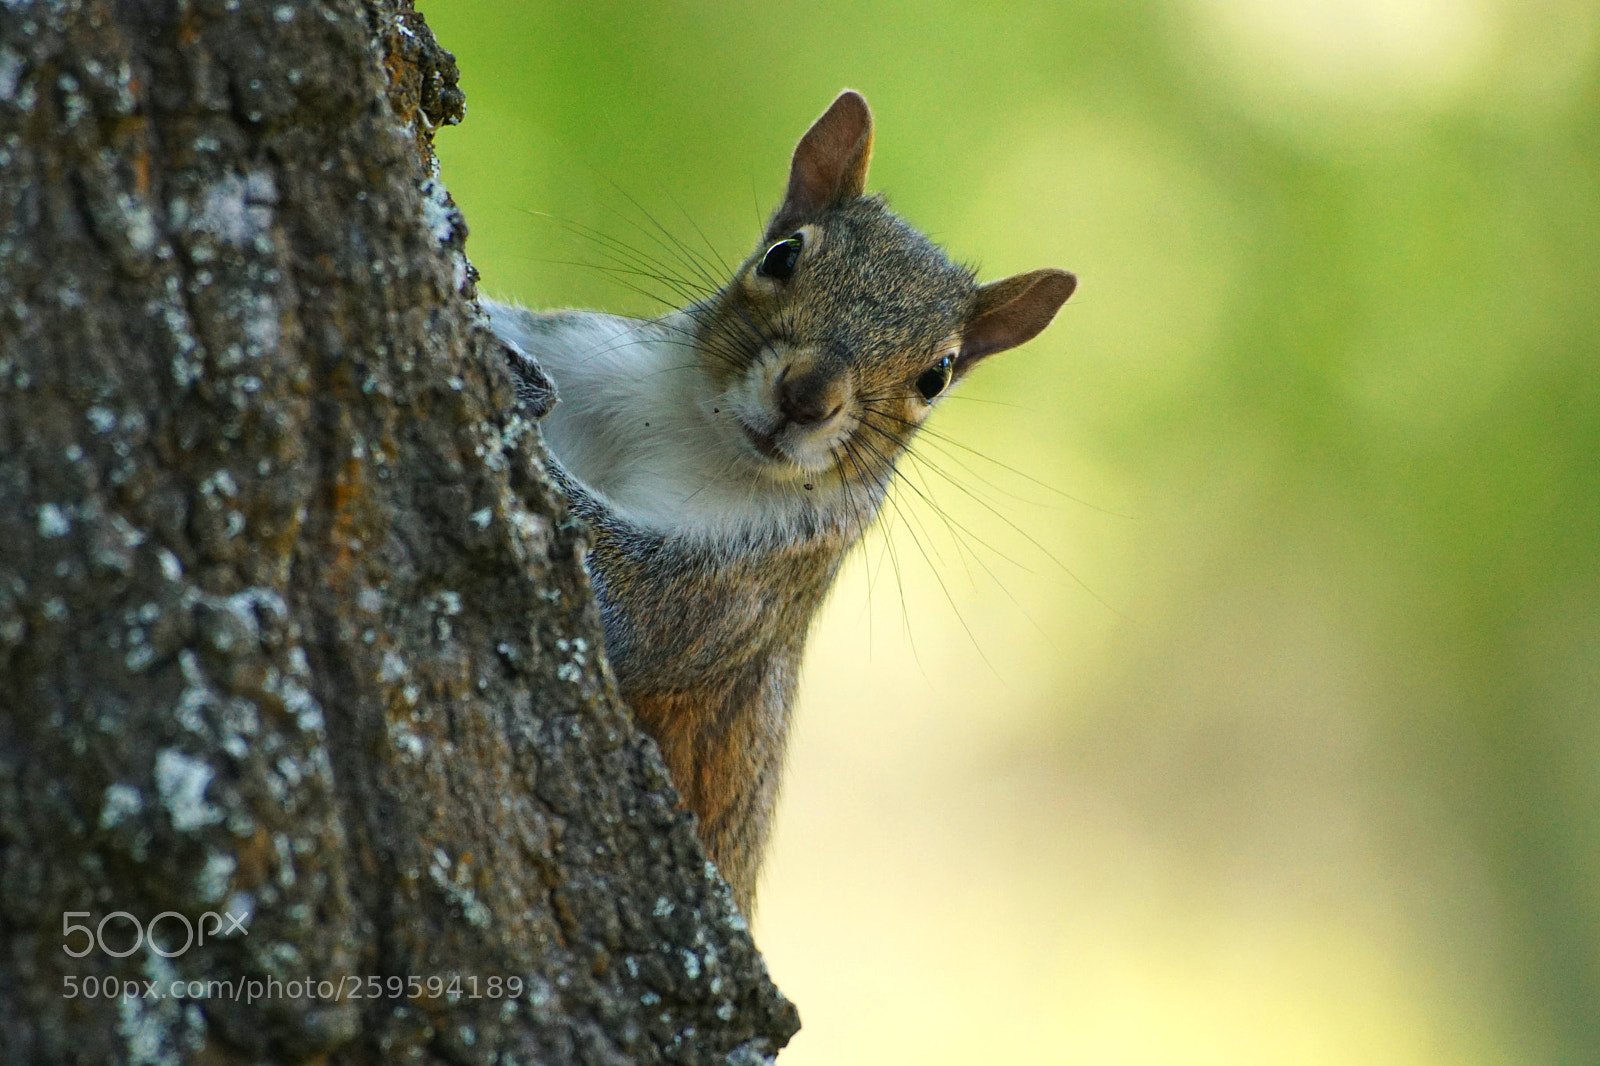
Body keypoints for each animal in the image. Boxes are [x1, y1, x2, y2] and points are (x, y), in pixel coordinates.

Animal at [484, 91, 1075, 913]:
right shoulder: (596, 358)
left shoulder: (760, 575)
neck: (704, 438)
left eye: (937, 376)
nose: (806, 397)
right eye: (783, 255)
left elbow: (643, 609)